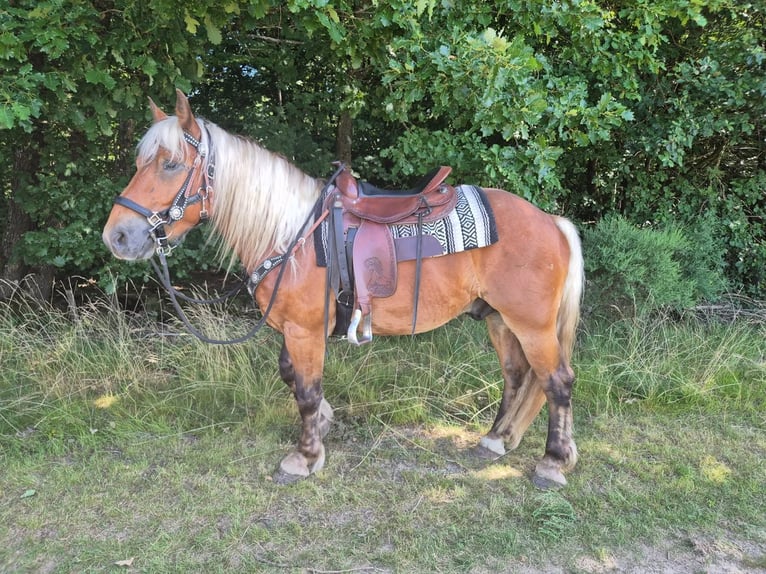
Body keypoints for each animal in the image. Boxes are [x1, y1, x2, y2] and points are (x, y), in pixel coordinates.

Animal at [102, 90, 584, 488]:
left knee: (557, 382)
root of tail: (551, 221)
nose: (118, 237)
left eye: (170, 164)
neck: (290, 234)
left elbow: (306, 390)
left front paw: (305, 456)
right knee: (518, 376)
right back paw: (498, 439)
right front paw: (323, 424)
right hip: (500, 320)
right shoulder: (294, 328)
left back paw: (553, 463)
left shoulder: (303, 330)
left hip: (532, 325)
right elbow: (292, 377)